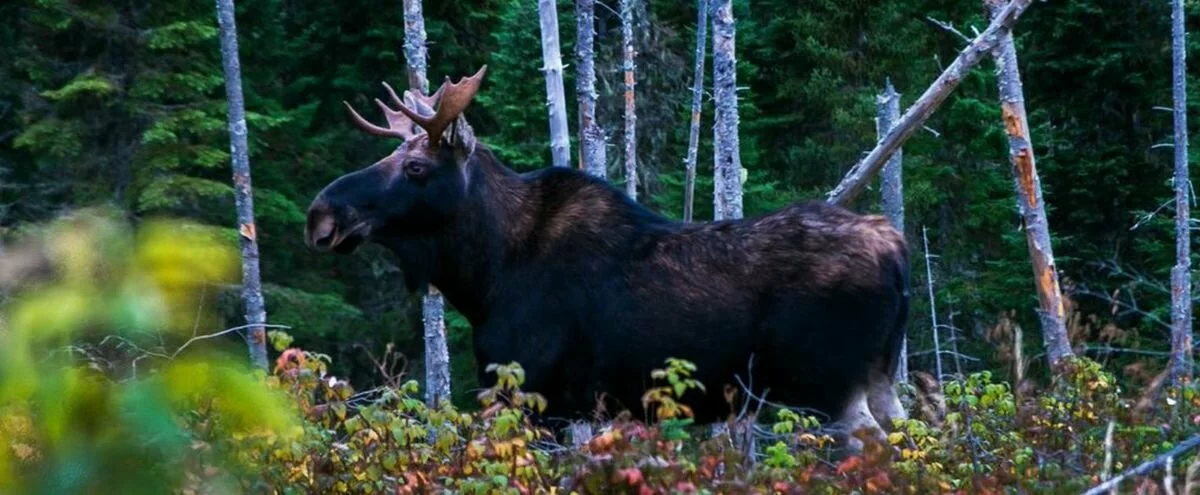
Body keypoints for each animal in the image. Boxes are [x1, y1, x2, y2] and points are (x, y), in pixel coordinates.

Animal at [307, 64, 907, 449]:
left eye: (415, 168)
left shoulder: (533, 391)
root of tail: (896, 247)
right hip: (878, 377)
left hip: (828, 382)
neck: (484, 276)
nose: (321, 214)